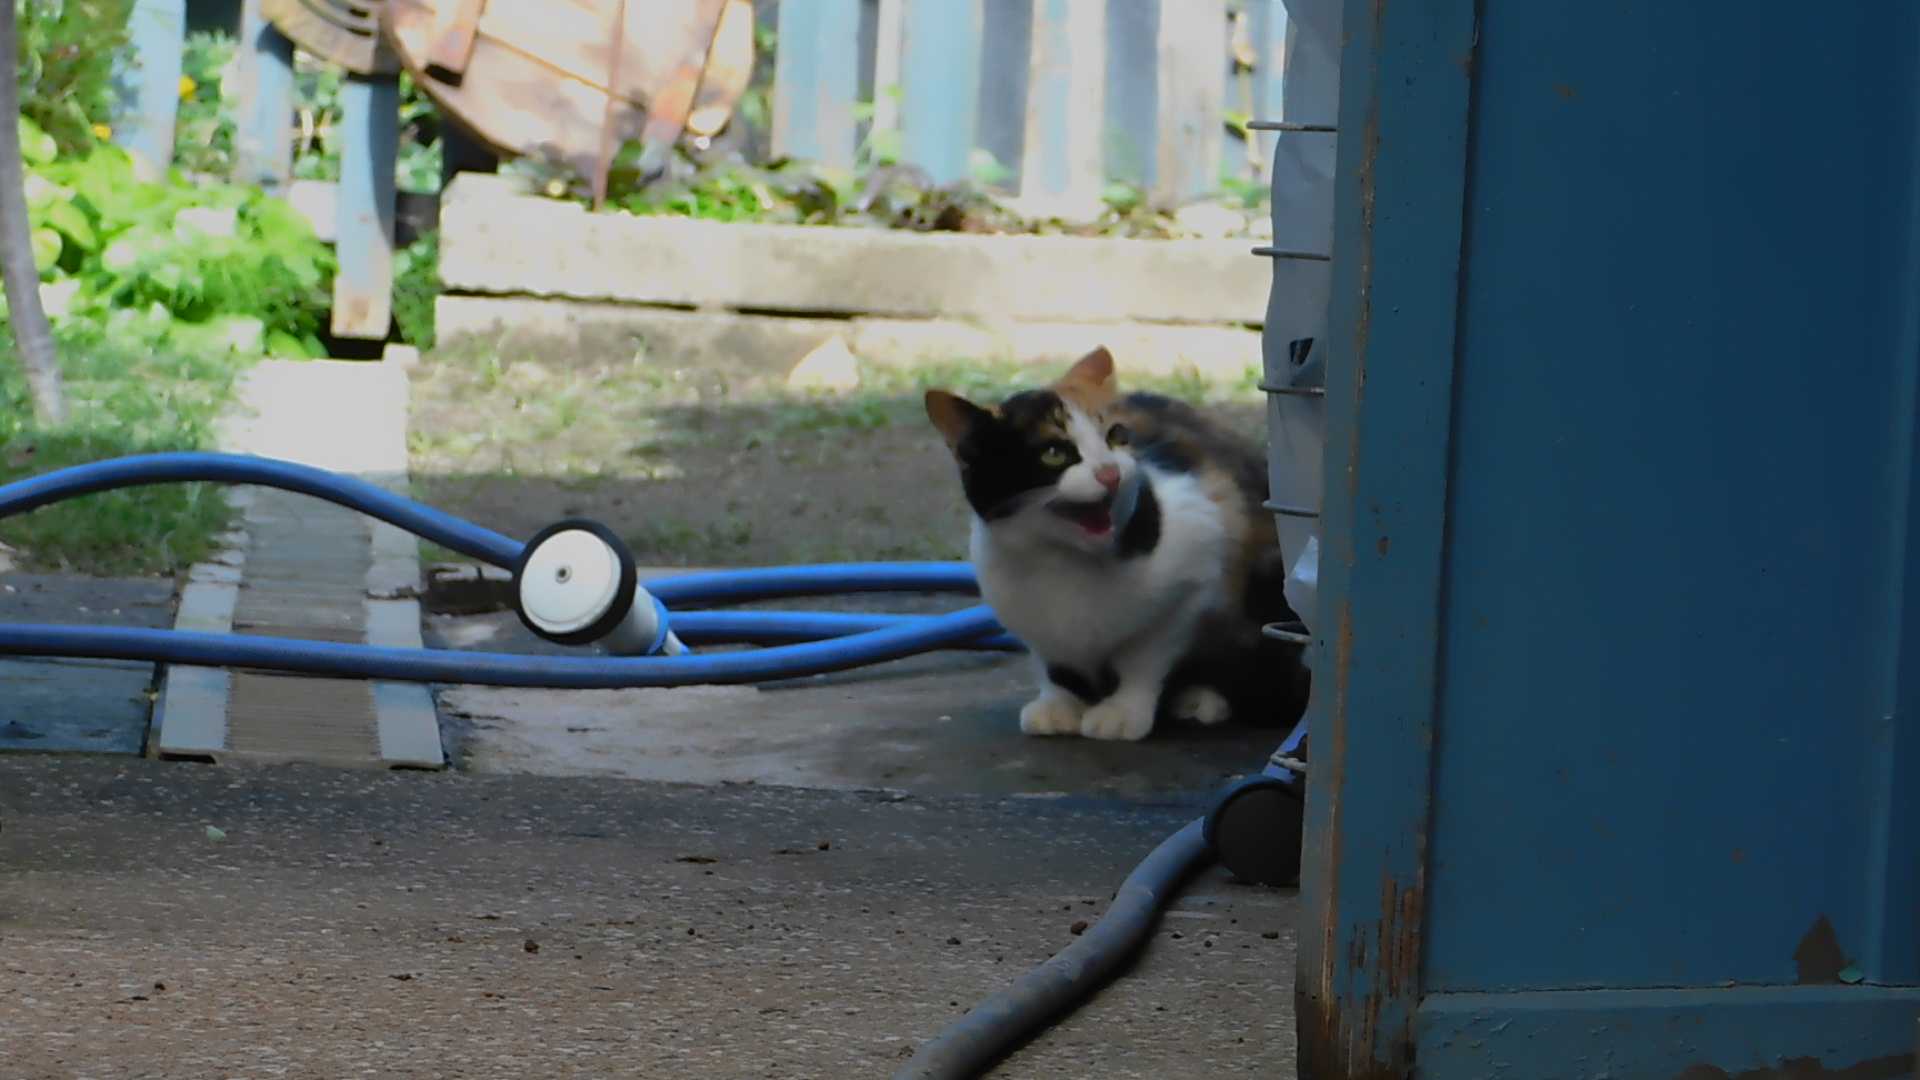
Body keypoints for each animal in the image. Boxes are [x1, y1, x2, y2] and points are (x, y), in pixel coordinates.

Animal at [925, 343, 1313, 737]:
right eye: (1053, 453)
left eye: (1115, 435)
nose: (1109, 473)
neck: (1064, 561)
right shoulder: (1027, 617)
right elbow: (1054, 660)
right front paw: (1059, 703)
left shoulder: (1195, 569)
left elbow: (1144, 658)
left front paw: (1124, 711)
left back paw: (1202, 697)